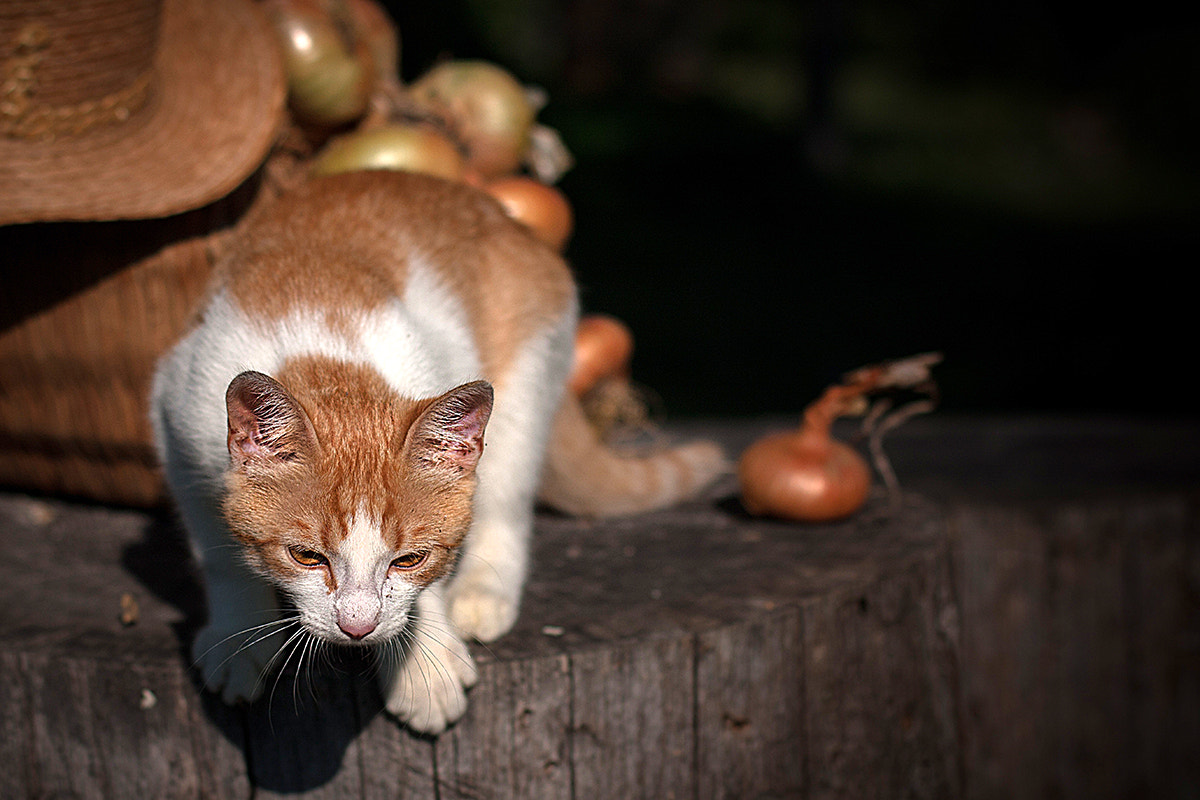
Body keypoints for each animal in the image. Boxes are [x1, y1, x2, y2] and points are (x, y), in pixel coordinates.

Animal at [150, 172, 720, 734]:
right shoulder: (176, 418)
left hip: (527, 378)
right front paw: (240, 635)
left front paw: (423, 664)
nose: (357, 627)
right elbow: (217, 554)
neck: (328, 356)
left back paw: (484, 594)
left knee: (508, 501)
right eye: (306, 556)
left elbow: (430, 585)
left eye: (409, 559)